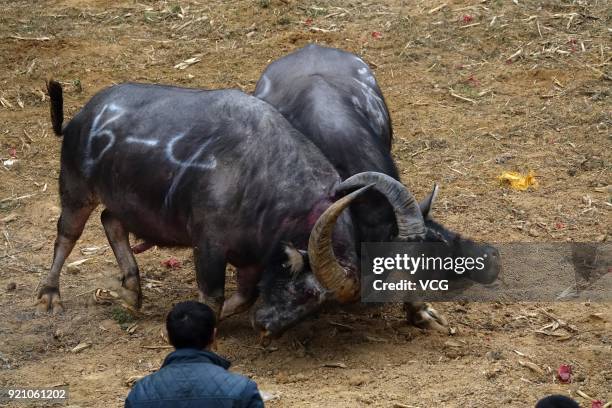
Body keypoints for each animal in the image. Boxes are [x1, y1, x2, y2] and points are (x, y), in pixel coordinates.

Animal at [39, 79, 430, 338]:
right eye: (308, 292)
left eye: (319, 304)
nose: (267, 325)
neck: (262, 182)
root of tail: (80, 118)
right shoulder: (208, 245)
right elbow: (212, 296)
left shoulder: (253, 259)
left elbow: (243, 297)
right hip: (75, 188)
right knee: (67, 234)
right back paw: (50, 296)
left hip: (123, 202)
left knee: (111, 221)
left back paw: (132, 291)